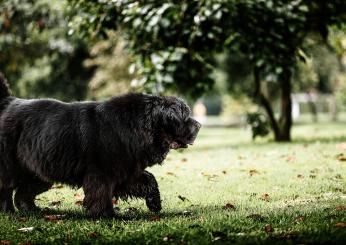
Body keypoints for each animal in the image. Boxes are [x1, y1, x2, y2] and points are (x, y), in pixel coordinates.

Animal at [0, 74, 200, 218]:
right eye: (184, 117)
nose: (198, 125)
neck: (135, 125)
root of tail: (8, 102)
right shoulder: (101, 172)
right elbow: (101, 192)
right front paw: (106, 214)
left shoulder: (126, 169)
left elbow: (149, 179)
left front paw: (155, 203)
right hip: (11, 165)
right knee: (6, 187)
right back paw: (7, 211)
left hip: (40, 169)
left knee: (23, 192)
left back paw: (32, 210)